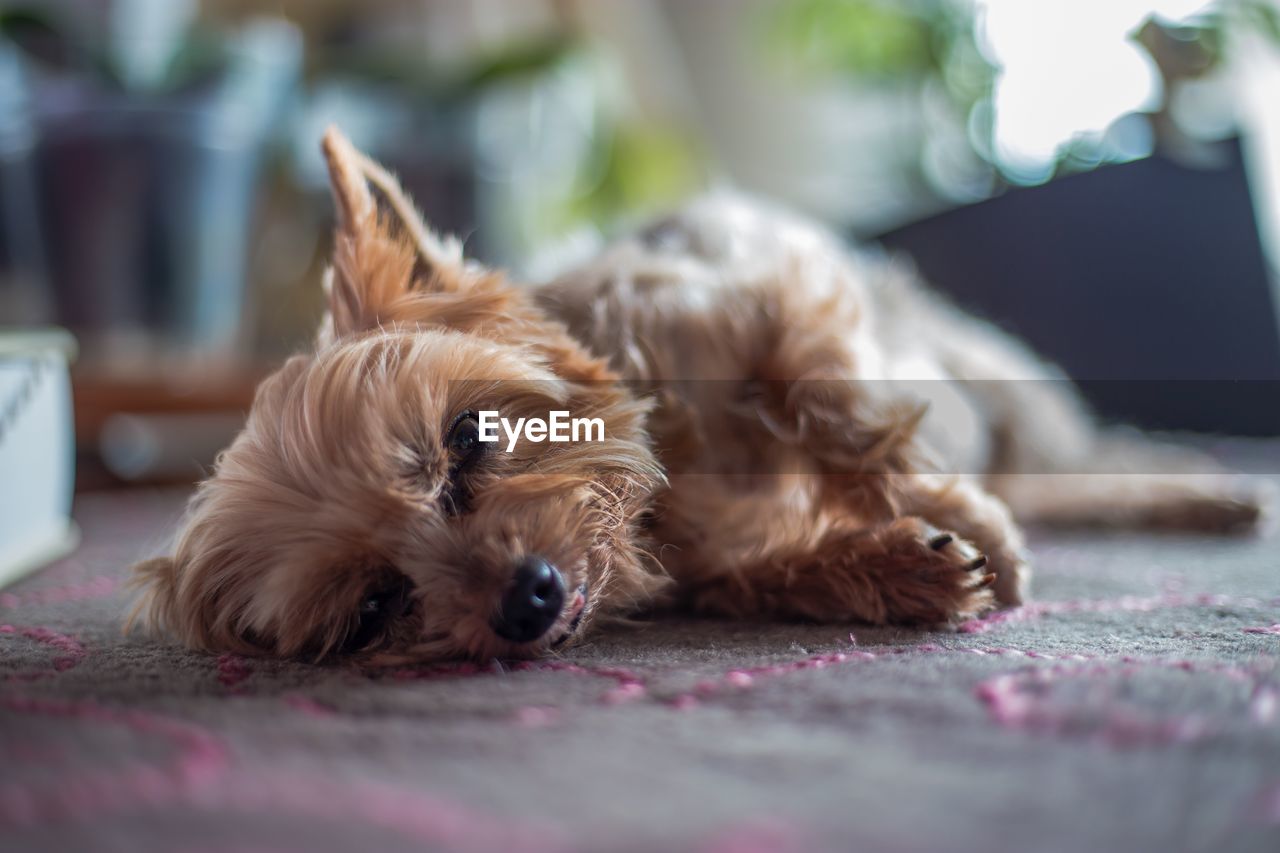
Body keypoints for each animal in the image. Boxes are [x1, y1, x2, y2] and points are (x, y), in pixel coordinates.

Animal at [129, 126, 1269, 660]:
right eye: (374, 605)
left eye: (468, 439)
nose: (525, 598)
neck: (669, 496)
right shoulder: (706, 567)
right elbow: (764, 575)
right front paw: (895, 566)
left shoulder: (780, 294)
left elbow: (845, 414)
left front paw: (959, 519)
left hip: (1013, 394)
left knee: (1085, 457)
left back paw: (1200, 487)